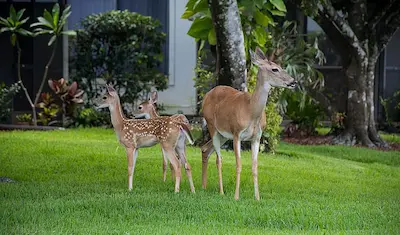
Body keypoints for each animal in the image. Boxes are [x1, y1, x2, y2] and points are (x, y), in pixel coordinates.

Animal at [202, 47, 296, 200]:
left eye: (281, 66)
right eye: (275, 69)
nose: (294, 81)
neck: (251, 111)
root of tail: (206, 96)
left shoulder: (257, 137)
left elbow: (254, 166)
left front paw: (257, 198)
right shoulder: (236, 133)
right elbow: (239, 164)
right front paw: (236, 196)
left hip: (223, 135)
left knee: (205, 149)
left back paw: (204, 186)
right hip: (212, 126)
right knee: (218, 159)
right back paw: (221, 191)